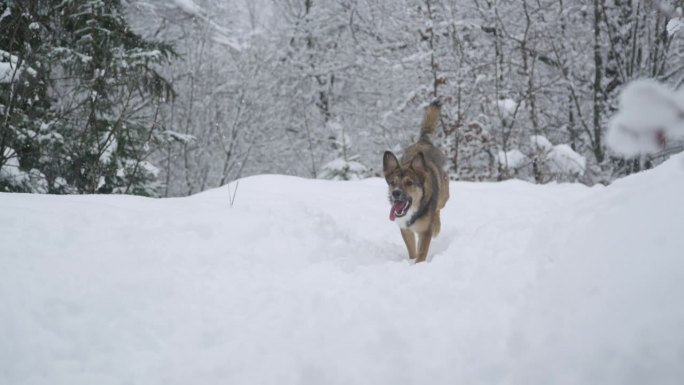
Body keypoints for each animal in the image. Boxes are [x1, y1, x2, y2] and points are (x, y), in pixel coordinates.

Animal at [384, 99, 448, 262]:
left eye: (409, 183)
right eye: (392, 182)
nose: (395, 193)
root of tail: (423, 141)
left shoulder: (425, 231)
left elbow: (422, 253)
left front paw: (418, 265)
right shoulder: (405, 229)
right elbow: (413, 250)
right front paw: (411, 262)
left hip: (444, 194)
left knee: (439, 208)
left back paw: (437, 225)